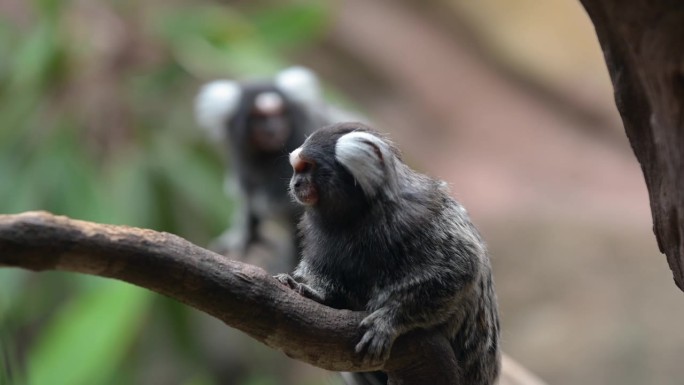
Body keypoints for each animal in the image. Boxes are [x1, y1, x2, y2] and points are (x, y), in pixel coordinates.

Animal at [276, 123, 500, 384]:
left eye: (307, 167)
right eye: (296, 170)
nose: (295, 183)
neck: (356, 216)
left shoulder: (420, 218)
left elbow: (460, 267)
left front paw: (389, 320)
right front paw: (316, 292)